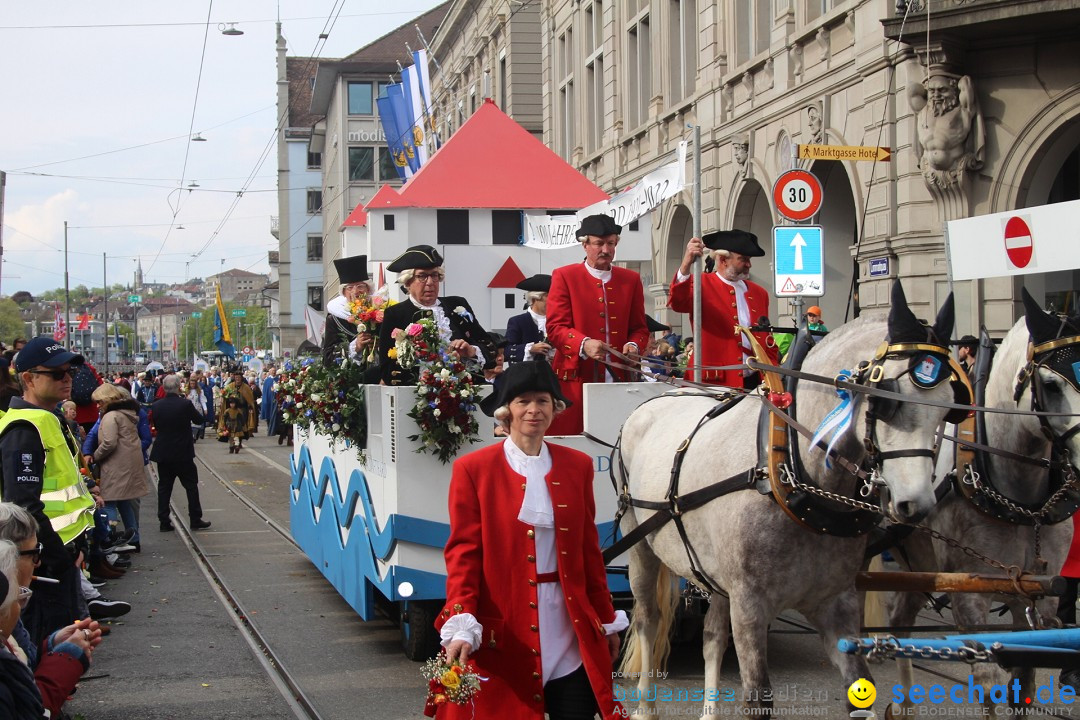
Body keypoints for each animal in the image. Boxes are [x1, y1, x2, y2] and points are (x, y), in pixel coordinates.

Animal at [613, 282, 959, 716]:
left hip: (713, 574)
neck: (788, 473)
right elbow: (757, 695)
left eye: (949, 408)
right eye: (886, 399)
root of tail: (655, 399)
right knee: (648, 619)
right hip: (641, 545)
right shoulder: (750, 607)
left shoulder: (836, 606)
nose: (916, 504)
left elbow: (859, 690)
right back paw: (645, 704)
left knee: (712, 636)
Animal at [885, 293, 1080, 708]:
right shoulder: (970, 595)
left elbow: (1023, 684)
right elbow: (988, 684)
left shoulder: (1036, 594)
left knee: (900, 619)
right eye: (1052, 385)